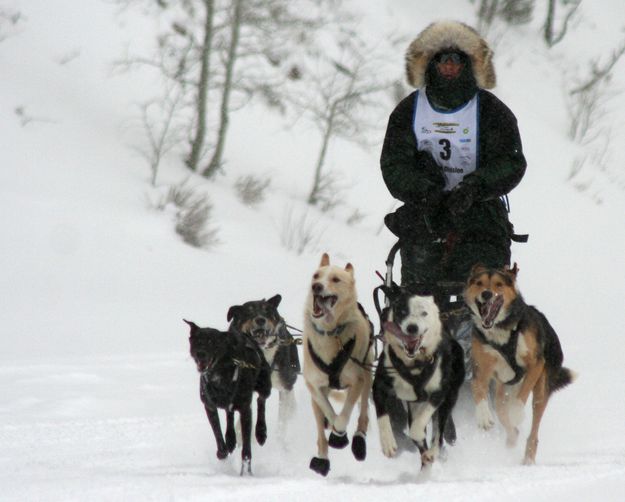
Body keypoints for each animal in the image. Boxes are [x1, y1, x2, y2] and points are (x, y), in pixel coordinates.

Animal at [185, 320, 272, 476]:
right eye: (197, 342)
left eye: (212, 342)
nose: (200, 354)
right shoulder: (209, 406)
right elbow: (218, 434)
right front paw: (222, 452)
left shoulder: (245, 409)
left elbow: (246, 448)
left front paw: (246, 473)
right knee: (229, 413)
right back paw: (230, 439)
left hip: (264, 384)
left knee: (261, 401)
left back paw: (261, 432)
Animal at [304, 253, 372, 476]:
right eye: (316, 275)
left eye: (335, 279)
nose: (316, 286)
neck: (330, 333)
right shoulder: (313, 385)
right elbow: (326, 409)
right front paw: (331, 428)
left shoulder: (357, 381)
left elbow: (343, 417)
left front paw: (339, 435)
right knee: (320, 429)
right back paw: (322, 457)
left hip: (367, 376)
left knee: (363, 414)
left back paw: (358, 440)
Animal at [370, 284, 464, 468]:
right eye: (402, 311)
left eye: (424, 313)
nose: (412, 327)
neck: (414, 365)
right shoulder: (380, 387)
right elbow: (383, 416)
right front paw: (388, 443)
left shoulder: (438, 393)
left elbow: (419, 426)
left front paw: (418, 433)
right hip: (413, 407)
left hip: (448, 399)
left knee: (439, 432)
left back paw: (433, 452)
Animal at [464, 264, 576, 464]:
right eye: (479, 283)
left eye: (498, 284)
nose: (487, 294)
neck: (501, 330)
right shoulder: (480, 368)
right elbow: (478, 389)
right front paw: (483, 416)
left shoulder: (535, 365)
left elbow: (521, 398)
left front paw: (517, 413)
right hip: (501, 392)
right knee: (504, 415)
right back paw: (511, 439)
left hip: (541, 390)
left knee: (534, 427)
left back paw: (528, 457)